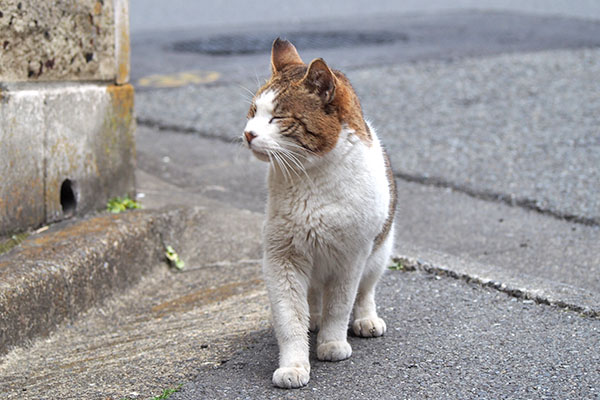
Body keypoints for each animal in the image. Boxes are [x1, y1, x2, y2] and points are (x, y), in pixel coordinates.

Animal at [241, 37, 396, 388]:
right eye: (253, 112)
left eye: (277, 118)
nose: (248, 133)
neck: (308, 180)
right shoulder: (282, 258)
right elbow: (289, 318)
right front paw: (294, 365)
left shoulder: (350, 258)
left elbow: (340, 305)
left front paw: (332, 343)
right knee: (311, 296)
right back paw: (314, 317)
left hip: (379, 253)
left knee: (365, 291)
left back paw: (365, 319)